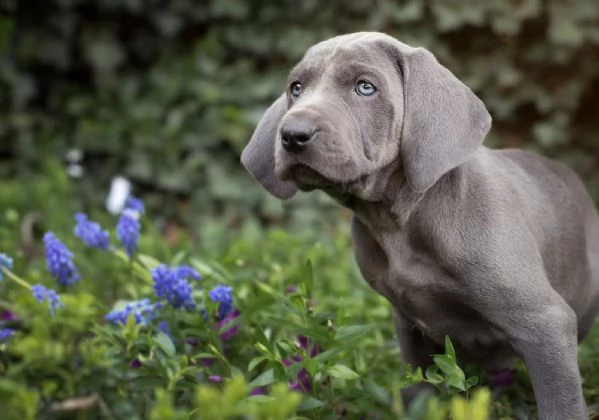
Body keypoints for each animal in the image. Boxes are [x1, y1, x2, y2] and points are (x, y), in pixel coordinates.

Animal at [240, 31, 599, 418]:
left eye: (365, 88)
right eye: (296, 88)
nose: (292, 134)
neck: (398, 222)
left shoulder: (545, 323)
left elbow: (561, 403)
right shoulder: (408, 325)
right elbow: (417, 391)